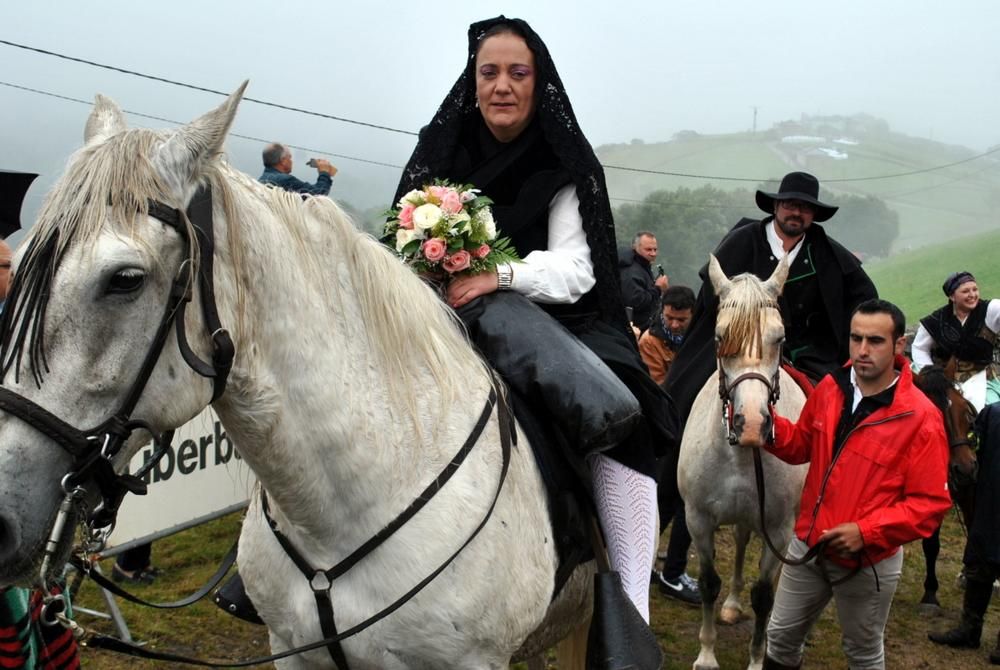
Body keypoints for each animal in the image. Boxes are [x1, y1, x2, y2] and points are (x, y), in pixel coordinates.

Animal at [676, 256, 808, 670]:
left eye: (779, 338)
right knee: (739, 541)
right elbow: (709, 584)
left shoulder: (779, 528)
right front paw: (706, 654)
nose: (751, 424)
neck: (738, 456)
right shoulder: (699, 519)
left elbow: (764, 594)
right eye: (720, 338)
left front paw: (757, 658)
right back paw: (732, 604)